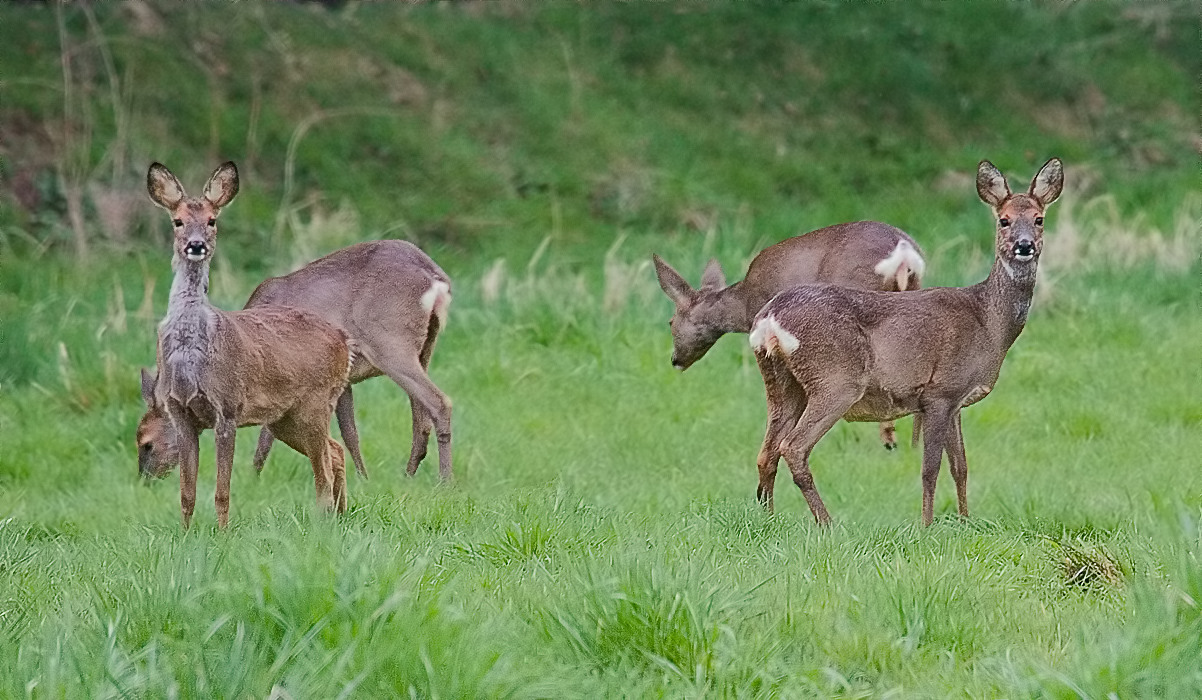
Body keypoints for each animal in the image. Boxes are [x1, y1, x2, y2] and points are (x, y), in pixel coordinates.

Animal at [132, 241, 451, 483]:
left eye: (146, 443)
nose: (146, 480)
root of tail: (435, 278)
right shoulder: (341, 382)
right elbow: (350, 433)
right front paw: (363, 478)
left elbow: (267, 433)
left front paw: (252, 479)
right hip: (424, 347)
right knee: (420, 415)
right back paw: (410, 473)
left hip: (389, 342)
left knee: (439, 402)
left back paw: (444, 481)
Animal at [138, 162, 350, 529]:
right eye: (177, 220)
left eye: (212, 219)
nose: (196, 245)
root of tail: (345, 342)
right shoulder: (181, 413)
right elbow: (186, 493)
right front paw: (186, 533)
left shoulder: (228, 407)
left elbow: (222, 491)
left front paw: (222, 533)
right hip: (284, 419)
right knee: (334, 452)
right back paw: (340, 515)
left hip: (315, 403)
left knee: (323, 467)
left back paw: (324, 521)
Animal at [750, 157, 1062, 526]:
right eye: (1004, 220)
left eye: (1039, 219)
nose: (1024, 246)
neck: (987, 321)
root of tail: (768, 319)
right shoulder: (939, 391)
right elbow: (930, 469)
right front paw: (927, 525)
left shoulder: (956, 397)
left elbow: (961, 466)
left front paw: (965, 521)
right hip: (835, 378)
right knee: (793, 447)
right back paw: (827, 523)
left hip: (782, 381)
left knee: (766, 452)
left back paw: (768, 519)